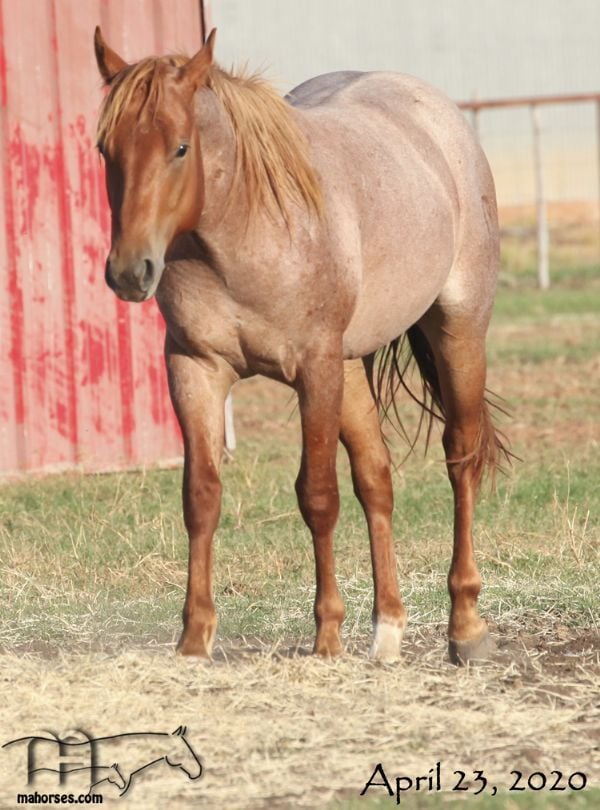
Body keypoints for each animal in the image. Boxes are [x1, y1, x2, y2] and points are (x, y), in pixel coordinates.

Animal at [94, 30, 510, 664]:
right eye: (104, 150)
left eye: (181, 148)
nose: (129, 272)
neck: (244, 232)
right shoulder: (195, 369)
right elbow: (201, 495)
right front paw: (194, 638)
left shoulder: (313, 370)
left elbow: (317, 495)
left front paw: (327, 636)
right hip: (351, 366)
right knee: (376, 476)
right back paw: (387, 628)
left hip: (456, 329)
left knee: (459, 457)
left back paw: (465, 627)